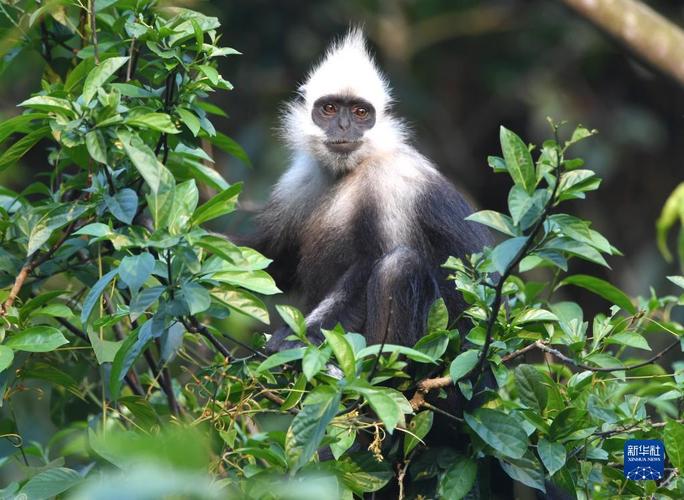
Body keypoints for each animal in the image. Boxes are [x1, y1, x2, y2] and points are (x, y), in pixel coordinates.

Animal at [247, 29, 492, 350]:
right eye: (329, 109)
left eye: (361, 112)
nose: (343, 126)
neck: (349, 170)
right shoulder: (299, 180)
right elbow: (270, 264)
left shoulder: (390, 182)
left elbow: (370, 267)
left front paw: (301, 336)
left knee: (398, 267)